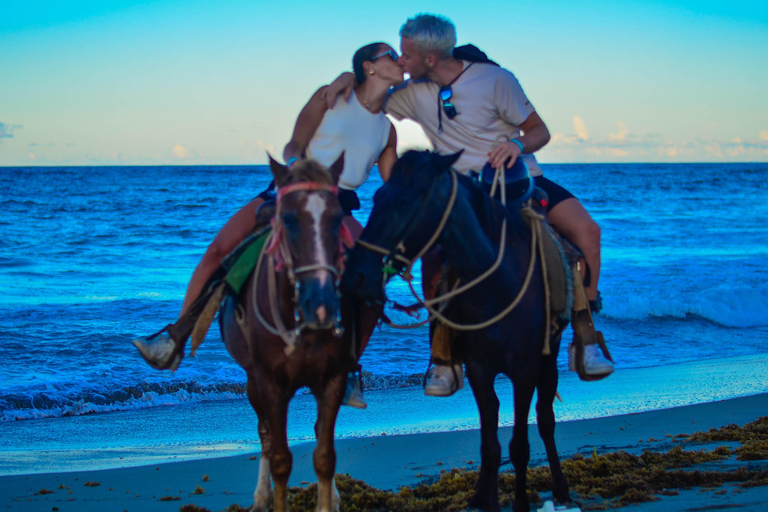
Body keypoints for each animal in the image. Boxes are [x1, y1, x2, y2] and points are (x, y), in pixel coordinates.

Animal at [219, 157, 356, 512]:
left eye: (337, 218)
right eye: (289, 220)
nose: (321, 306)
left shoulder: (332, 378)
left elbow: (324, 456)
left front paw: (327, 501)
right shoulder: (269, 382)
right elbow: (280, 459)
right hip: (253, 381)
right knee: (265, 434)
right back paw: (260, 497)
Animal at [344, 151, 572, 512]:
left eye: (405, 200)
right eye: (377, 197)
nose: (356, 275)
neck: (497, 284)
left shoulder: (524, 371)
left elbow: (520, 445)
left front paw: (521, 502)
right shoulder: (479, 370)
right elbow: (489, 447)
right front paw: (487, 499)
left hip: (548, 358)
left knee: (546, 417)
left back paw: (561, 488)